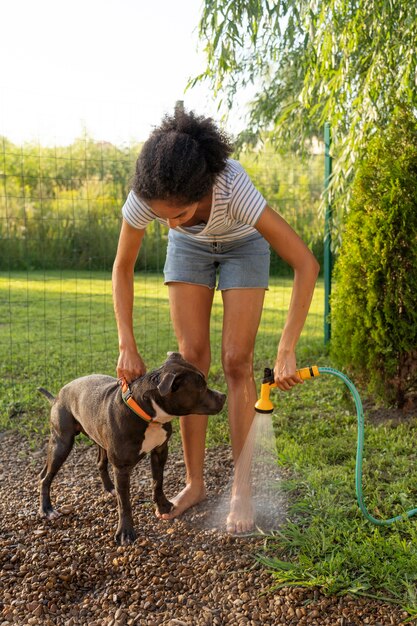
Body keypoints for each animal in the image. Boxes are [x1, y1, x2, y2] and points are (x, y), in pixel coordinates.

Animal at [37, 352, 226, 540]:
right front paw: (125, 531)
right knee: (47, 479)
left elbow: (158, 482)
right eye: (201, 387)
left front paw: (163, 506)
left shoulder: (160, 451)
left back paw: (109, 488)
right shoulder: (121, 468)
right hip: (62, 443)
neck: (148, 414)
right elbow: (125, 502)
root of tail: (59, 394)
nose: (224, 396)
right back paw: (47, 509)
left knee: (98, 464)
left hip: (96, 440)